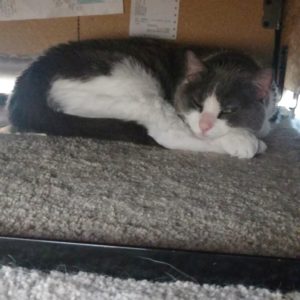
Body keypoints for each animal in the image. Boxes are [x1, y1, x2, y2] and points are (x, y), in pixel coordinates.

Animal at [4, 37, 278, 158]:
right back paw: (248, 144)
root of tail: (33, 72)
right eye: (197, 103)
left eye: (229, 110)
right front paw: (244, 139)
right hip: (138, 92)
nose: (204, 125)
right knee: (168, 135)